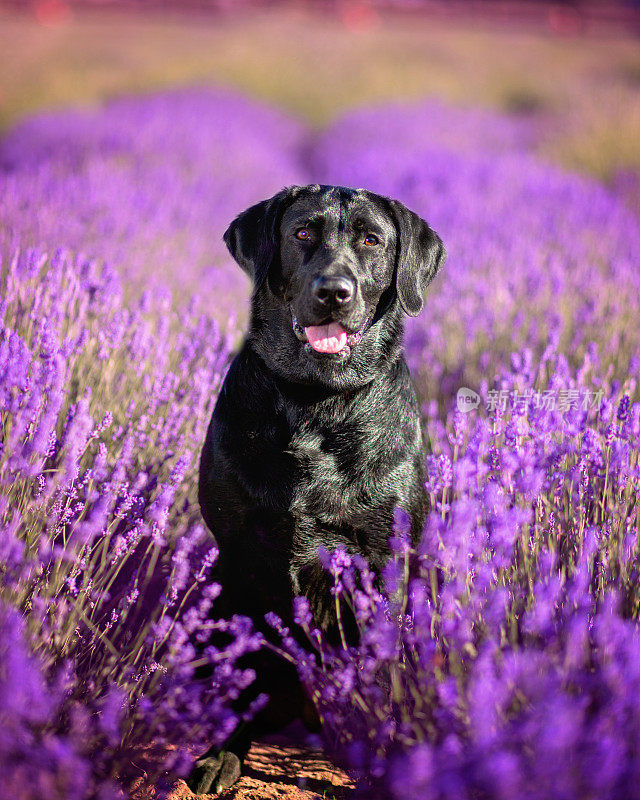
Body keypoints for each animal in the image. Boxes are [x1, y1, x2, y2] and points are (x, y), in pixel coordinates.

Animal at [188, 184, 442, 792]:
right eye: (303, 232)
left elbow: (378, 675)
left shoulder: (384, 560)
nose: (334, 292)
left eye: (371, 239)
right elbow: (249, 665)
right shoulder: (242, 557)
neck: (316, 402)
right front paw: (222, 752)